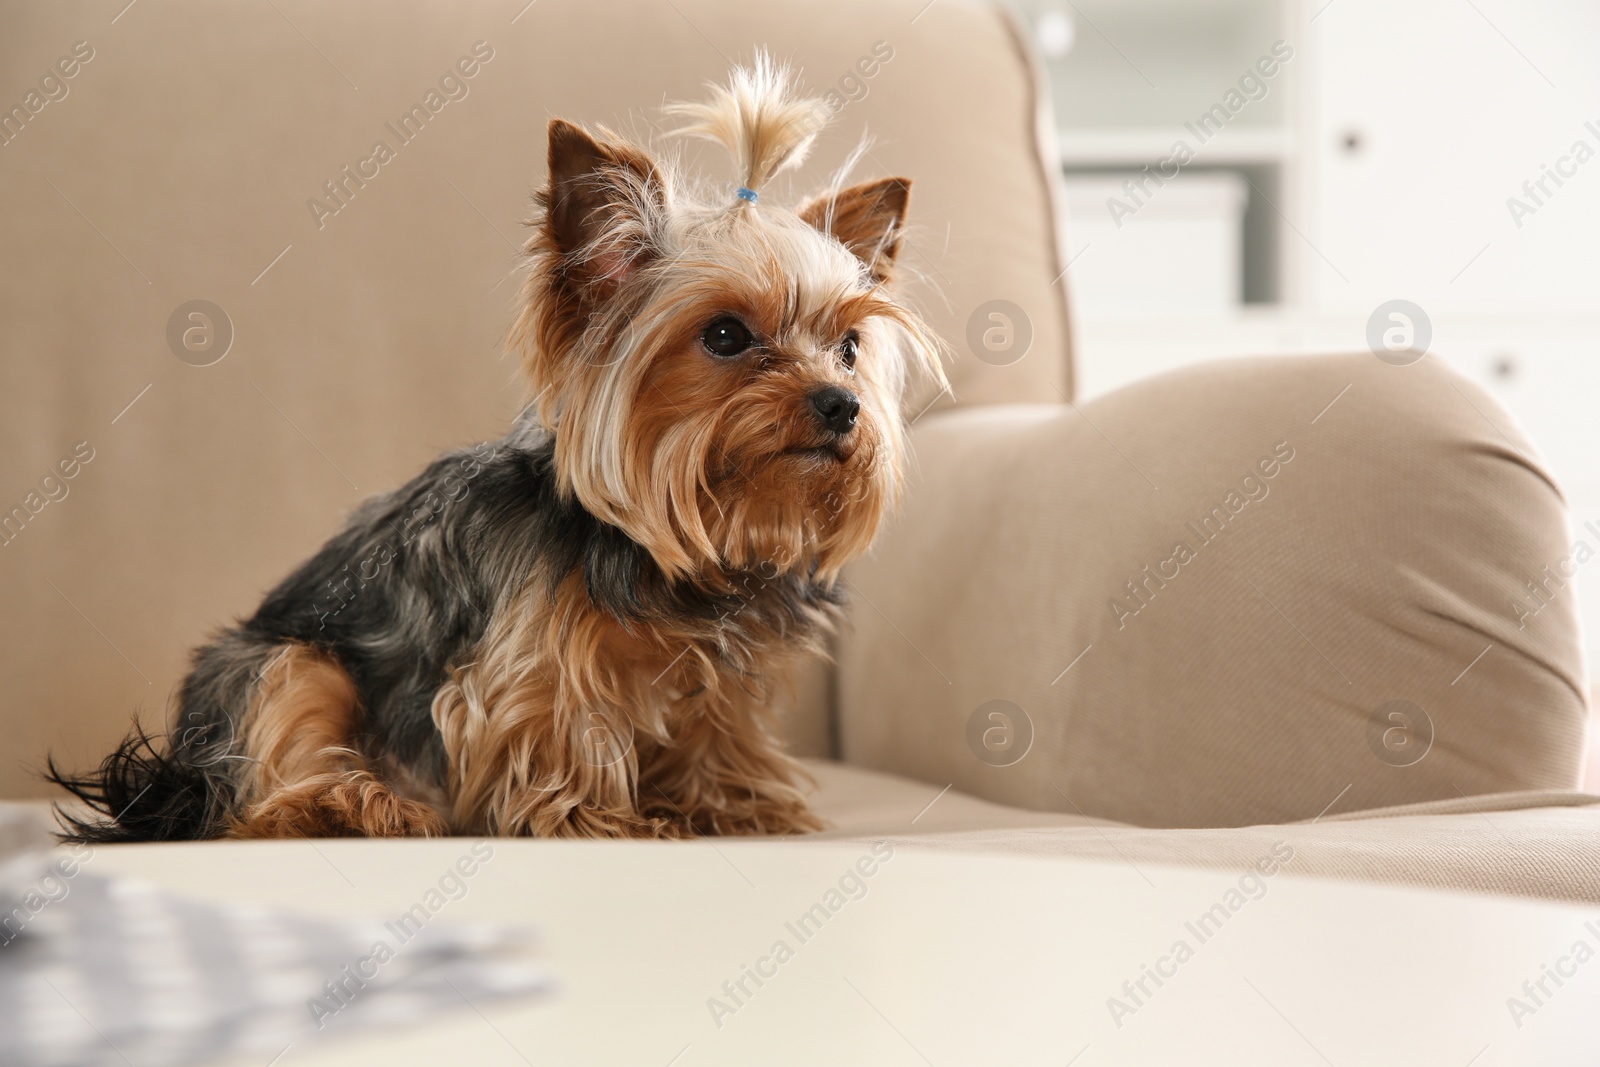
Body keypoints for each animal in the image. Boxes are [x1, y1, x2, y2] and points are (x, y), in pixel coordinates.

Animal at [46, 58, 947, 844]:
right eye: (725, 335)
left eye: (849, 347)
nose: (841, 405)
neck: (666, 548)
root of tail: (172, 779)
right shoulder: (529, 656)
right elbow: (554, 717)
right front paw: (593, 814)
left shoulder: (722, 671)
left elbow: (717, 724)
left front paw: (735, 805)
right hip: (282, 663)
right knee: (268, 786)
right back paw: (354, 802)